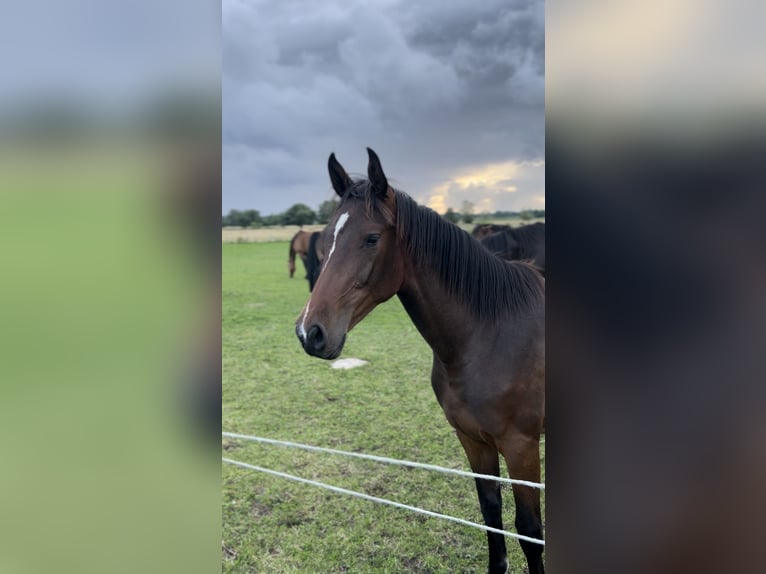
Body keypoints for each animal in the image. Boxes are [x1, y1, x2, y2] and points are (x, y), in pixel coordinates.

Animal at [296, 150, 544, 574]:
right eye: (326, 239)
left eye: (372, 238)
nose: (310, 332)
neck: (490, 337)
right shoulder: (472, 440)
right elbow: (490, 513)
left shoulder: (521, 447)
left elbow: (529, 532)